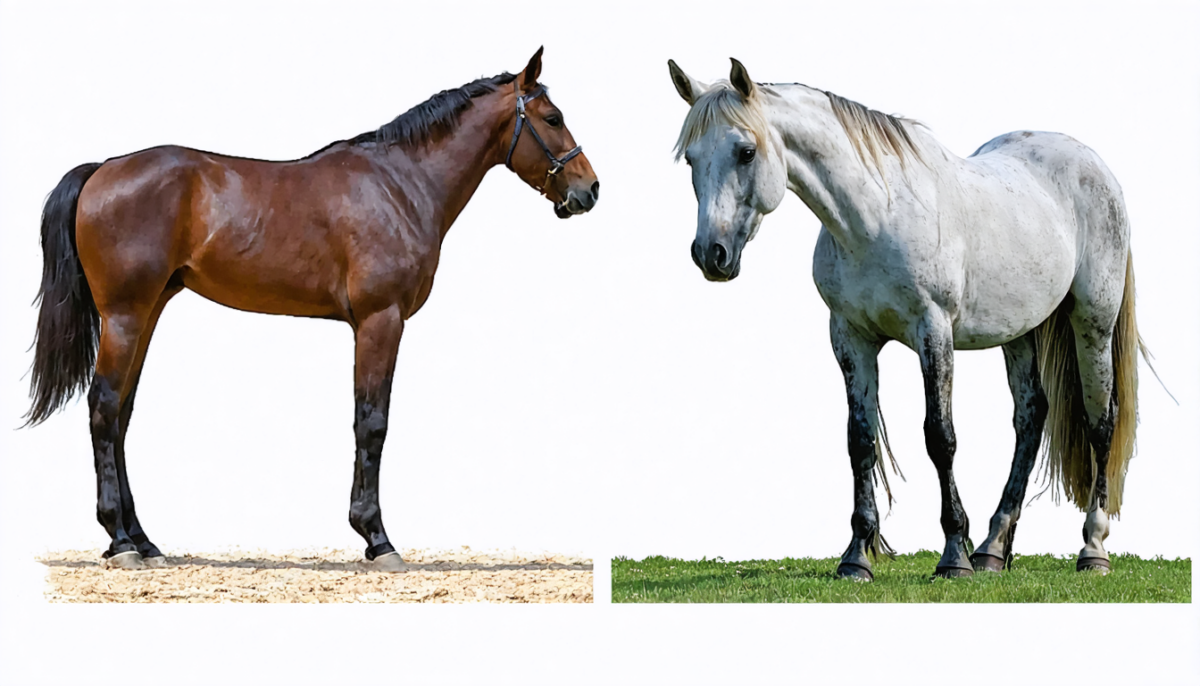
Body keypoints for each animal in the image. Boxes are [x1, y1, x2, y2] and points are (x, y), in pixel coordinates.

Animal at [25, 48, 599, 572]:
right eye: (553, 118)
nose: (589, 189)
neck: (400, 184)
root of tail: (102, 169)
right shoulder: (380, 321)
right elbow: (372, 422)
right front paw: (377, 539)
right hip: (125, 316)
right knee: (104, 408)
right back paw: (121, 543)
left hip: (145, 315)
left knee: (121, 415)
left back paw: (142, 541)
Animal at [667, 57, 1146, 579]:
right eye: (691, 159)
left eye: (747, 152)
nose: (711, 254)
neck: (876, 216)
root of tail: (1093, 163)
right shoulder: (850, 338)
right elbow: (860, 441)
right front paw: (856, 556)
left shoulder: (933, 332)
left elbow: (940, 437)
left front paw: (953, 555)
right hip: (1018, 331)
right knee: (1030, 416)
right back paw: (993, 547)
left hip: (1093, 321)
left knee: (1101, 421)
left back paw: (1092, 547)